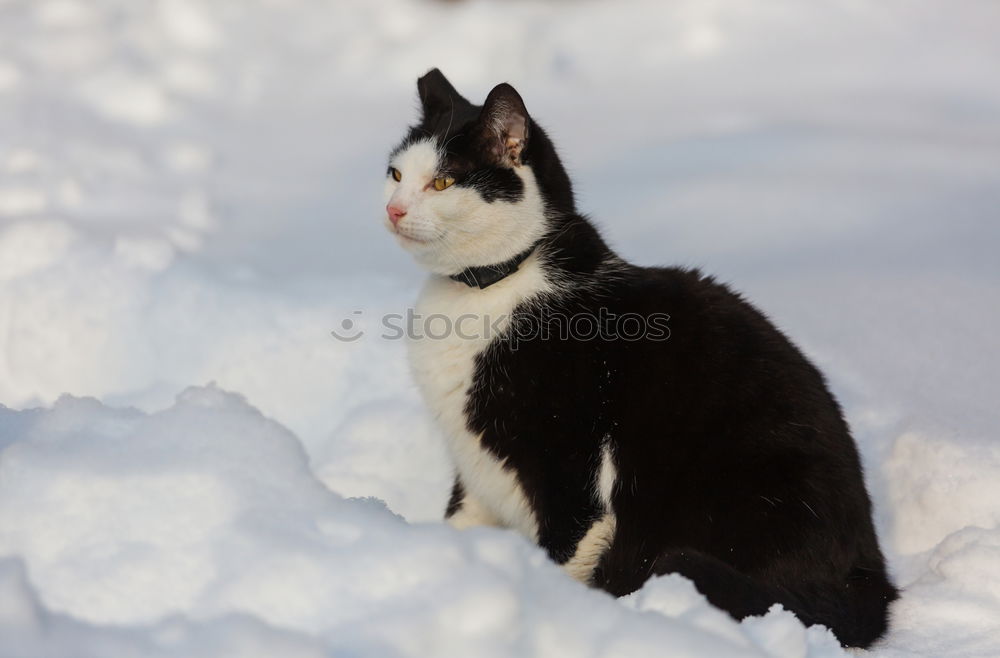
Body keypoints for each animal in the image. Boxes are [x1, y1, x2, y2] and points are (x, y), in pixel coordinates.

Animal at [382, 68, 900, 644]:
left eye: (443, 183)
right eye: (395, 173)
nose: (393, 209)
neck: (488, 289)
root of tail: (870, 577)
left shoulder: (572, 474)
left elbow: (564, 558)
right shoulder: (474, 470)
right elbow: (458, 523)